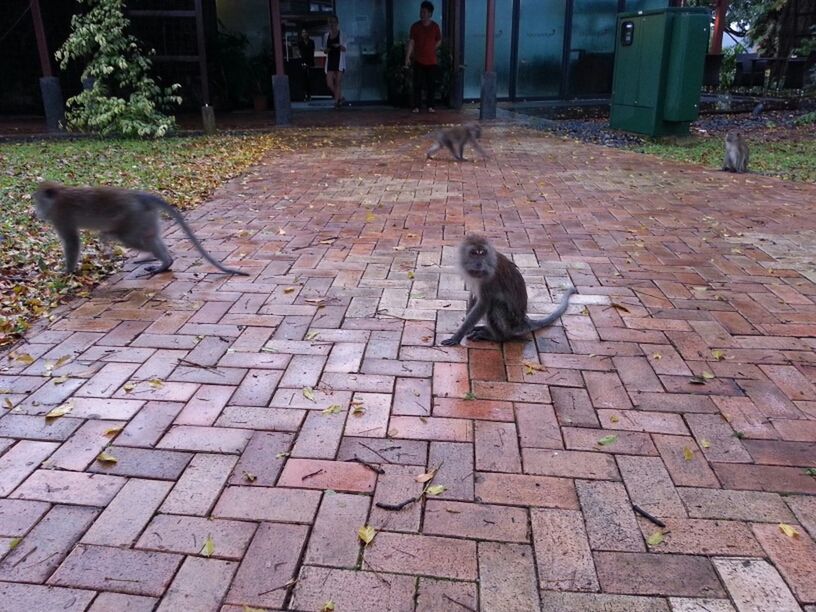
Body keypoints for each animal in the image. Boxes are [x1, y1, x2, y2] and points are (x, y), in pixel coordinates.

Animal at [32, 182, 249, 278]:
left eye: (37, 201)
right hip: (146, 217)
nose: (37, 212)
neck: (58, 196)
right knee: (151, 237)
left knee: (130, 238)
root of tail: (139, 197)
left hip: (133, 216)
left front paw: (66, 272)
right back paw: (164, 262)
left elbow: (71, 242)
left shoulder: (61, 217)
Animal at [444, 234, 576, 346]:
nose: (479, 263)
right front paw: (468, 324)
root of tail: (523, 321)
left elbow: (483, 304)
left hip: (510, 322)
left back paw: (497, 337)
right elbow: (474, 296)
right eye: (474, 253)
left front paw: (457, 336)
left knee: (495, 304)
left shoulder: (490, 279)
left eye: (482, 253)